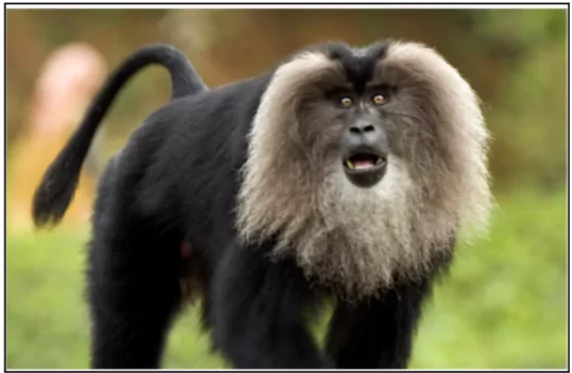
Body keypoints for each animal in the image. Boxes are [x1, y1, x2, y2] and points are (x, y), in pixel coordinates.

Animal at [32, 39, 492, 368]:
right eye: (343, 102)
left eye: (379, 99)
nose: (363, 128)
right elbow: (256, 326)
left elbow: (368, 335)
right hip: (124, 217)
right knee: (128, 327)